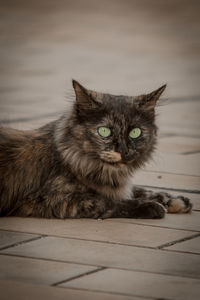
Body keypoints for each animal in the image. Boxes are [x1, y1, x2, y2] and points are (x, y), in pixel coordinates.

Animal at [0, 79, 192, 219]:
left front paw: (175, 200)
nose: (123, 150)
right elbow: (107, 201)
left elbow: (139, 190)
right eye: (104, 131)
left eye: (135, 132)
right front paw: (153, 206)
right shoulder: (52, 199)